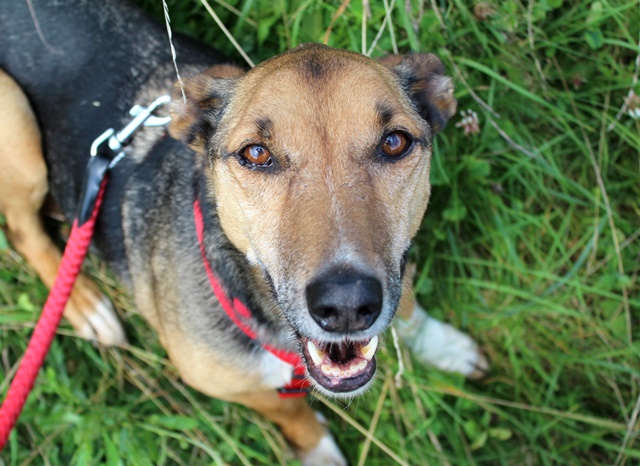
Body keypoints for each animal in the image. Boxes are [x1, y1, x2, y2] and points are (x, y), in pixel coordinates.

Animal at [0, 0, 488, 463]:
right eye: (255, 154)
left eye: (394, 142)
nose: (347, 305)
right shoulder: (227, 383)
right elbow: (290, 412)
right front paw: (318, 451)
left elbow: (406, 305)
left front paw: (441, 344)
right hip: (17, 119)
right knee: (23, 229)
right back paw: (86, 305)